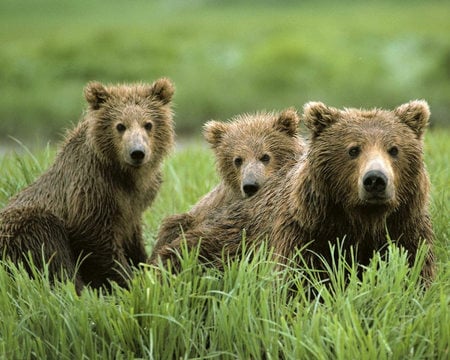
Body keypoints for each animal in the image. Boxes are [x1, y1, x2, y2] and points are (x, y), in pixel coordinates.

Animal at [0, 77, 175, 292]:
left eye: (148, 124)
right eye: (120, 126)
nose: (137, 152)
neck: (125, 176)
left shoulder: (134, 204)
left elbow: (133, 239)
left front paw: (143, 265)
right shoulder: (92, 189)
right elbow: (96, 240)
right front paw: (129, 281)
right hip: (25, 228)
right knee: (49, 250)